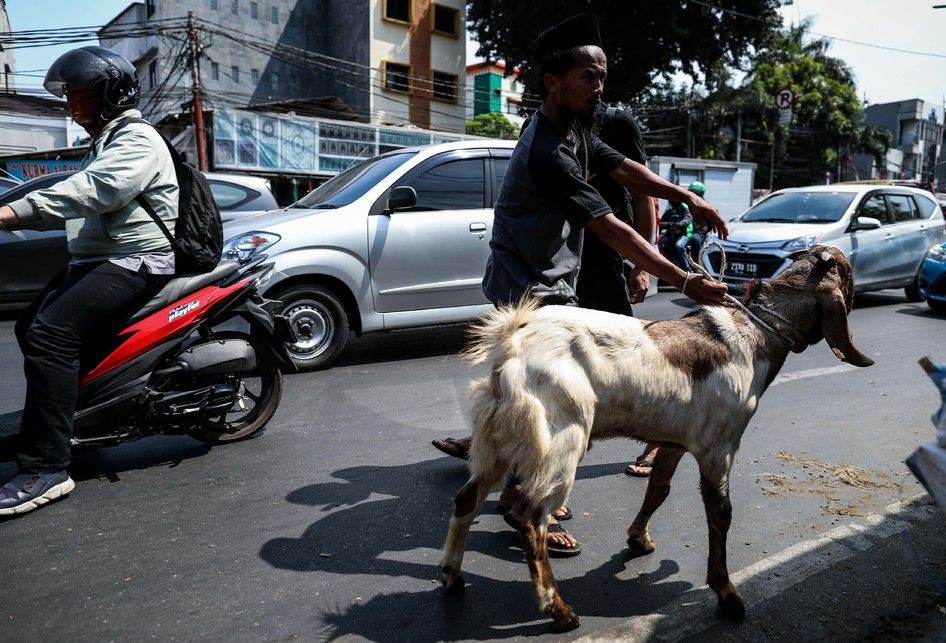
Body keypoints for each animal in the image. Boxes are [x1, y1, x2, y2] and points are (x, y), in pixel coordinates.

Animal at [438, 245, 872, 628]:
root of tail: (511, 347)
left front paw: (638, 540)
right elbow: (721, 512)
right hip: (558, 441)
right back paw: (558, 610)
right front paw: (727, 594)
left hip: (496, 439)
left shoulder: (675, 441)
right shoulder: (719, 444)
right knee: (529, 517)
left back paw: (452, 576)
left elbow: (658, 489)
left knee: (466, 499)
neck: (754, 335)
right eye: (849, 273)